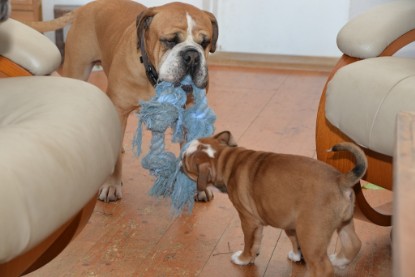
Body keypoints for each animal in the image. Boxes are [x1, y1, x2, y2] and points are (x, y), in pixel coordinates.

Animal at [26, 1, 219, 202]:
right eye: (170, 41)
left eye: (204, 43)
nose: (192, 55)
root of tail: (87, 6)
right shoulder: (119, 110)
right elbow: (116, 158)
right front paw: (112, 184)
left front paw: (197, 187)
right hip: (77, 71)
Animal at [182, 130, 368, 274]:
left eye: (184, 160)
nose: (179, 162)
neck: (223, 158)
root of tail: (340, 180)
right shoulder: (288, 221)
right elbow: (290, 238)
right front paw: (296, 255)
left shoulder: (248, 220)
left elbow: (249, 242)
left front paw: (243, 258)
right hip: (344, 223)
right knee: (354, 244)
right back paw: (338, 260)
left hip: (312, 234)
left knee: (322, 267)